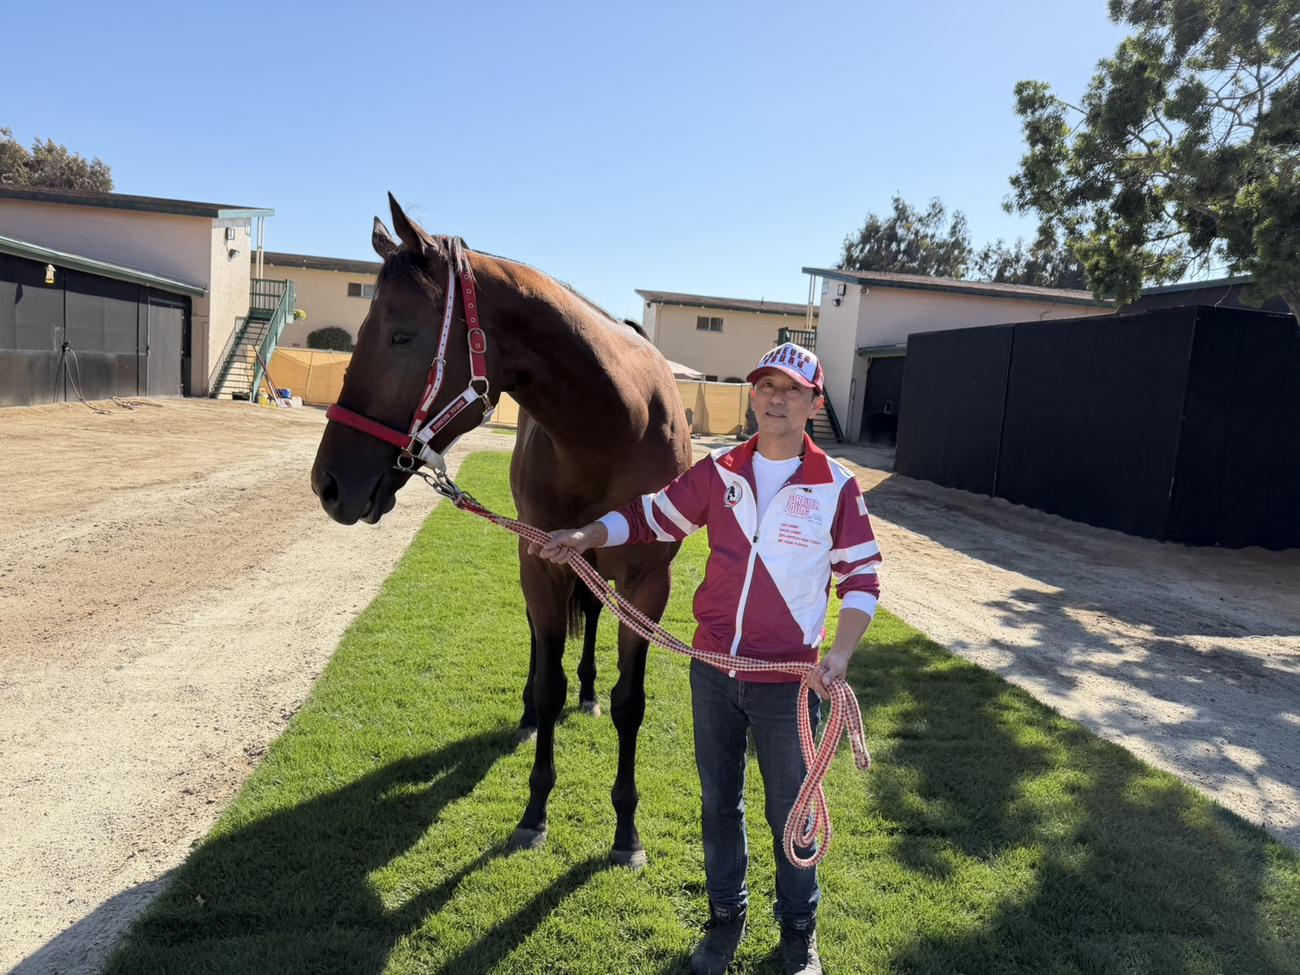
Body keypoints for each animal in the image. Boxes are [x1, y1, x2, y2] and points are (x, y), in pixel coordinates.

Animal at [310, 194, 691, 866]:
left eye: (400, 335)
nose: (328, 483)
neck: (615, 428)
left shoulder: (649, 585)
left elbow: (631, 701)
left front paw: (627, 832)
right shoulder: (542, 562)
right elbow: (547, 680)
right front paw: (535, 812)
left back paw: (588, 694)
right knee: (542, 649)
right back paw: (530, 715)